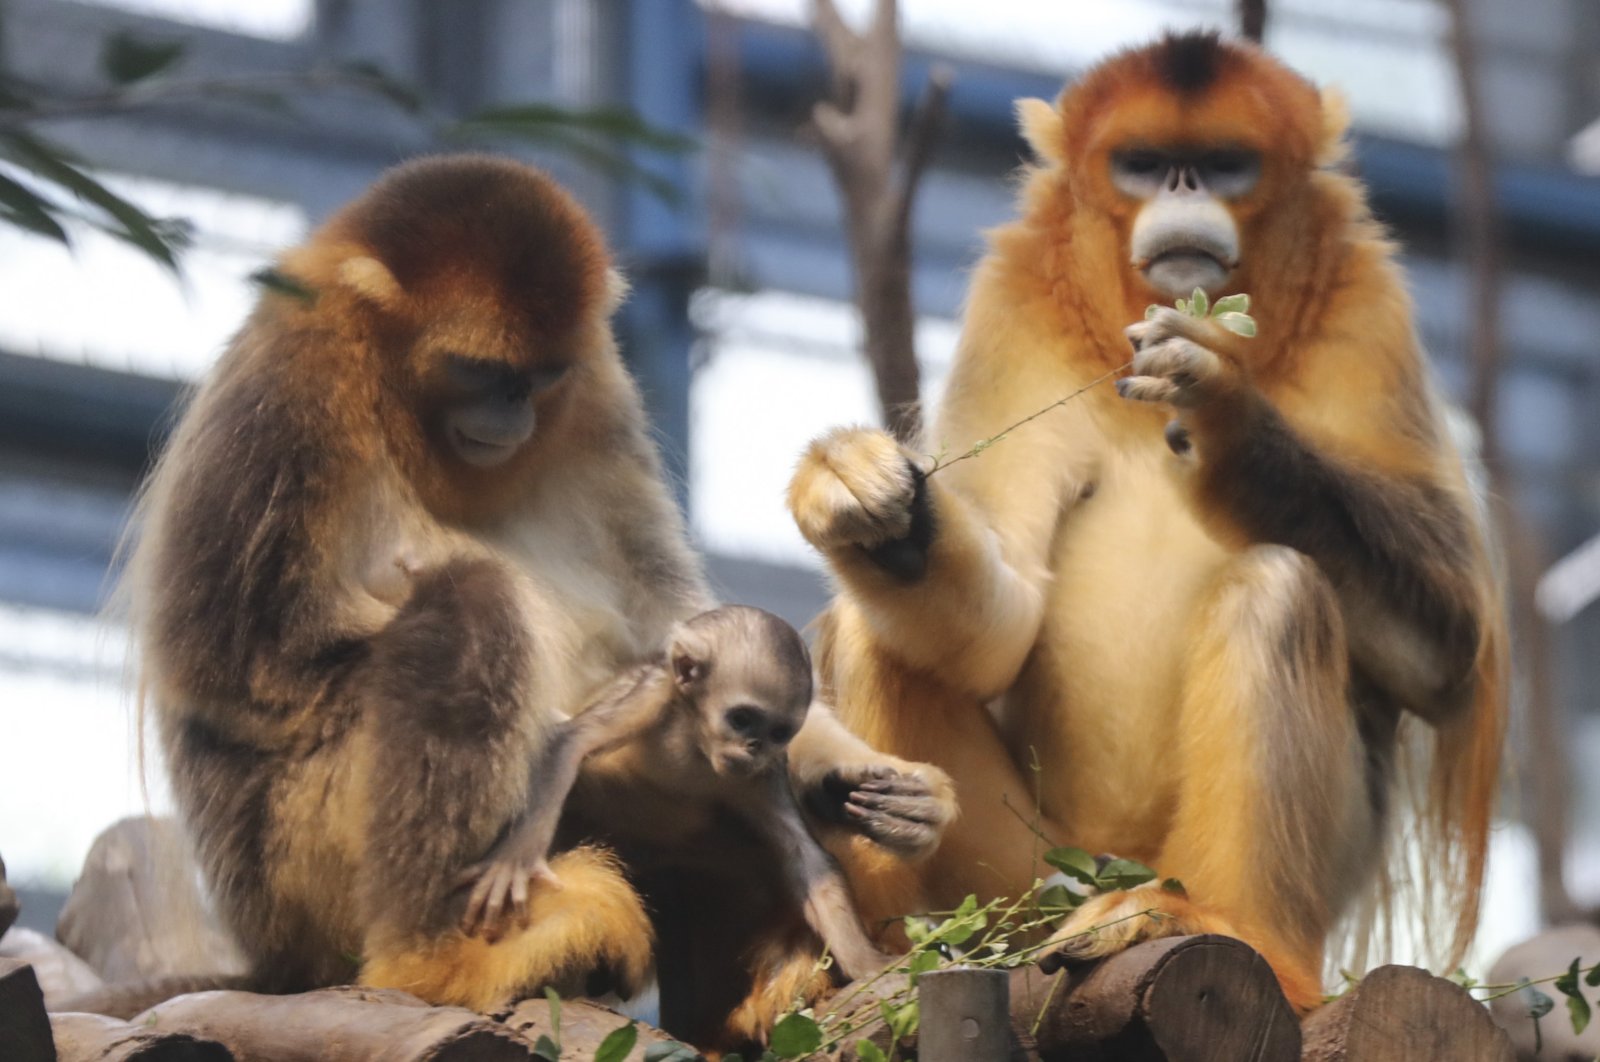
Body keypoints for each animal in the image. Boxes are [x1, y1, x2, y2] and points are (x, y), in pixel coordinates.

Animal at [124, 151, 953, 1036]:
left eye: (539, 378)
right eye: (481, 375)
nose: (512, 414)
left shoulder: (594, 389)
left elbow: (666, 623)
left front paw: (897, 796)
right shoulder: (290, 375)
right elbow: (232, 675)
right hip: (295, 862)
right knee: (472, 602)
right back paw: (433, 960)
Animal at [793, 33, 1504, 1010]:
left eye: (1224, 163)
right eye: (1143, 162)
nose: (1183, 189)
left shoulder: (1366, 296)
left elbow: (1448, 649)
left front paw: (1227, 416)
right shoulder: (1015, 297)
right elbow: (1002, 624)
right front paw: (863, 500)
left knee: (1277, 589)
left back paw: (1217, 925)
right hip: (1033, 878)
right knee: (877, 635)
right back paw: (903, 950)